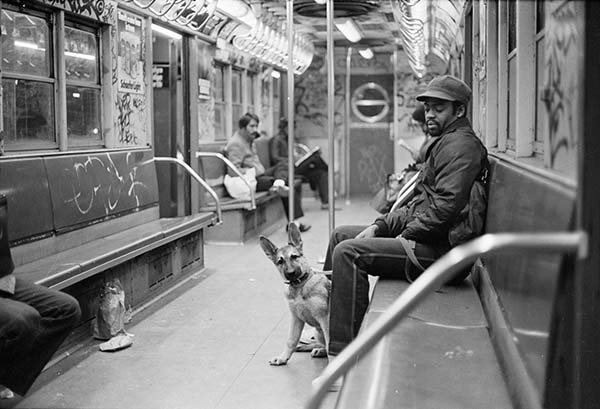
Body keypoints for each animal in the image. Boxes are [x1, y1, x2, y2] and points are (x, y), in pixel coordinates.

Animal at [258, 223, 330, 366]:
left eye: (294, 257)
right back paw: (316, 349)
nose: (291, 273)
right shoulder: (296, 318)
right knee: (320, 344)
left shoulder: (324, 318)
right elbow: (291, 340)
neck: (300, 286)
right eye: (280, 261)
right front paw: (282, 358)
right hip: (318, 332)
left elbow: (331, 343)